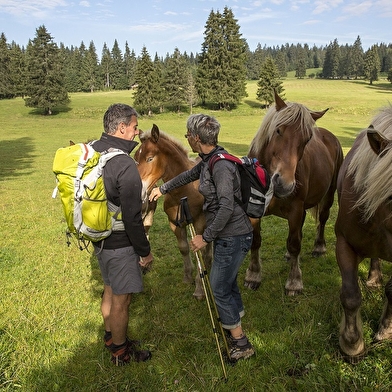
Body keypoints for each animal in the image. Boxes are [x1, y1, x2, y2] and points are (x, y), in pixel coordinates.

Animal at [134, 125, 211, 300]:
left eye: (150, 158)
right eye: (135, 158)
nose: (138, 192)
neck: (184, 191)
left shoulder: (200, 223)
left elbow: (200, 251)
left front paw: (199, 288)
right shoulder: (175, 223)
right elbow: (183, 248)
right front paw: (188, 277)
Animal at [247, 92, 344, 294]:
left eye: (307, 139)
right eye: (278, 130)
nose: (284, 184)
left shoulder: (295, 210)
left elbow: (294, 244)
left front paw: (294, 281)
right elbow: (256, 241)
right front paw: (253, 275)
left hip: (328, 195)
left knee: (322, 219)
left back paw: (319, 248)